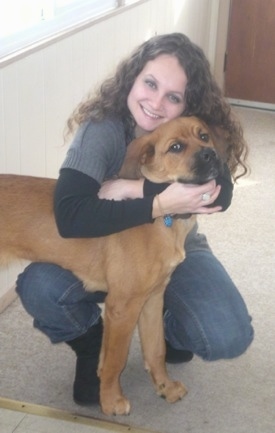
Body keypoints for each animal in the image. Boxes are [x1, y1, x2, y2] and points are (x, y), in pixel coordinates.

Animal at [0, 116, 224, 414]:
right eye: (176, 147)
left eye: (204, 136)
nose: (211, 155)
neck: (163, 219)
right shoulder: (123, 306)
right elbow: (116, 359)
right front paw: (111, 400)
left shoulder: (153, 298)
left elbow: (156, 349)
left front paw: (164, 386)